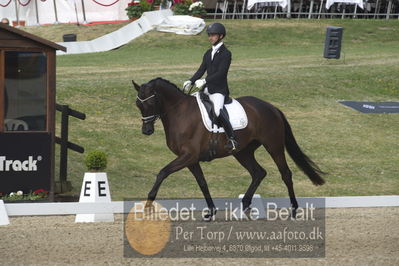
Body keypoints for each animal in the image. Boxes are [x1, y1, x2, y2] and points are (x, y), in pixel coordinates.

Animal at [133, 77, 326, 220]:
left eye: (150, 103)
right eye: (138, 104)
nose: (146, 131)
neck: (180, 113)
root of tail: (271, 107)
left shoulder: (188, 156)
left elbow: (163, 173)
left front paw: (148, 205)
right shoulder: (190, 159)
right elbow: (202, 183)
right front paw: (211, 211)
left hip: (273, 146)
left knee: (285, 174)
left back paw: (293, 210)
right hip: (242, 152)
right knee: (258, 173)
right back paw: (244, 206)